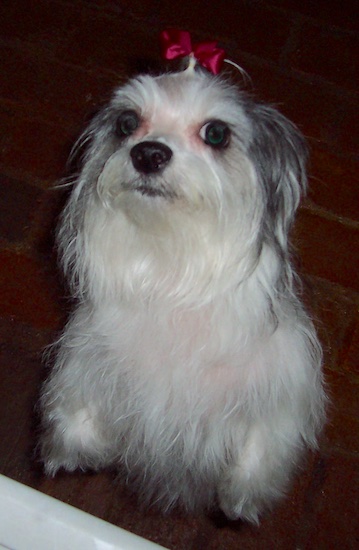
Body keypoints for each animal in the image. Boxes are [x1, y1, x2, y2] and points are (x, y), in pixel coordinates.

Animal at [39, 62, 326, 524]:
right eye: (126, 124)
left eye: (216, 133)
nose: (148, 153)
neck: (172, 278)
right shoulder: (85, 357)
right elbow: (75, 400)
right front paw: (74, 449)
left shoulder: (283, 386)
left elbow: (263, 445)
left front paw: (241, 498)